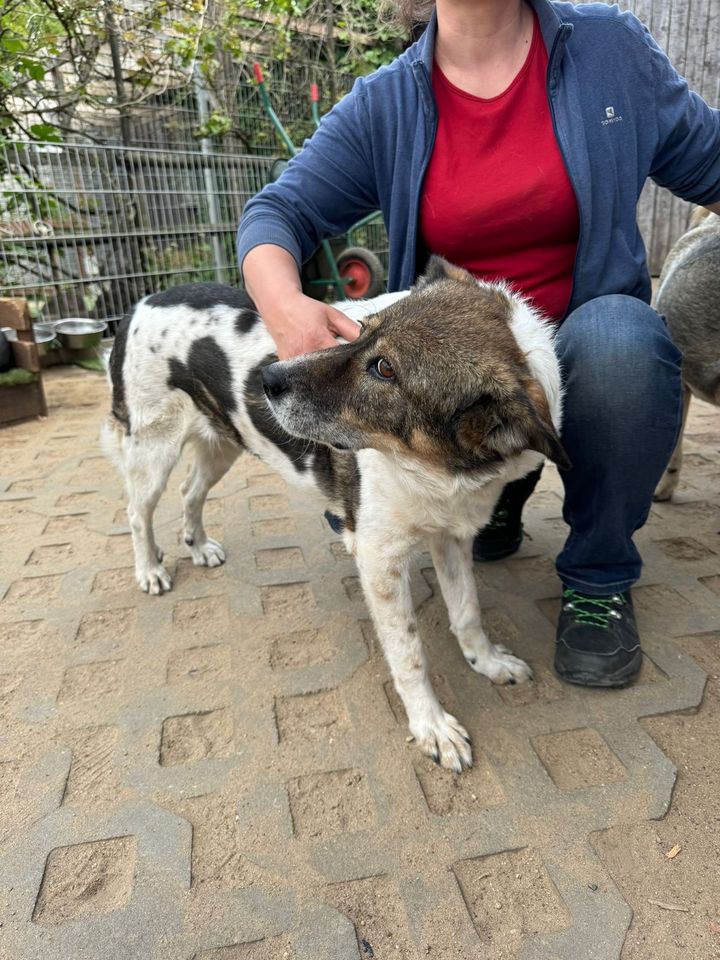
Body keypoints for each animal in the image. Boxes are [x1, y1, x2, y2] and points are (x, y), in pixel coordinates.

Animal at [102, 258, 568, 776]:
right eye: (361, 331)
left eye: (385, 368)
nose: (267, 379)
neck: (435, 468)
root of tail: (142, 301)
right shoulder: (379, 558)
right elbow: (409, 654)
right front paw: (431, 726)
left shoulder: (451, 536)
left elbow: (467, 611)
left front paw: (486, 662)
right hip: (153, 448)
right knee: (137, 511)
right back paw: (149, 569)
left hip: (222, 442)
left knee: (190, 491)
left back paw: (198, 544)